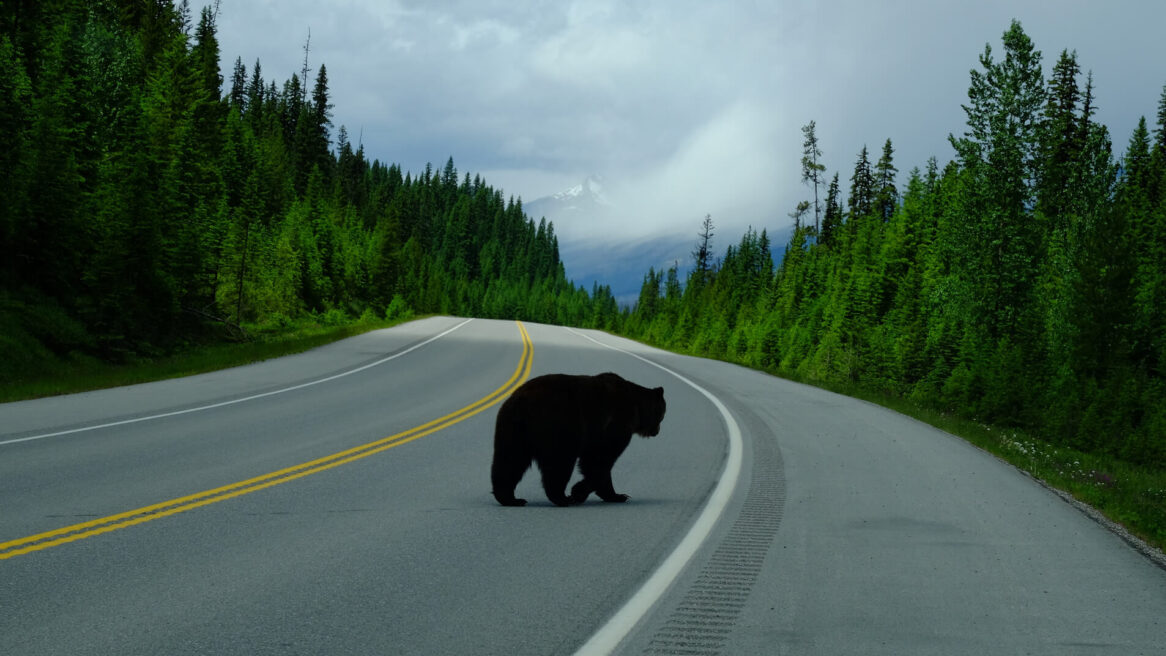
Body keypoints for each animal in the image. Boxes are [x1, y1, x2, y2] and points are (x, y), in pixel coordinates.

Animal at [489, 372, 666, 505]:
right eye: (662, 414)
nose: (657, 431)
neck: (636, 408)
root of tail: (520, 402)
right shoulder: (614, 424)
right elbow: (599, 460)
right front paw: (580, 492)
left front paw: (616, 495)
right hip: (558, 427)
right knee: (559, 462)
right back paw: (562, 498)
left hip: (512, 430)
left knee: (510, 460)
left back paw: (509, 498)